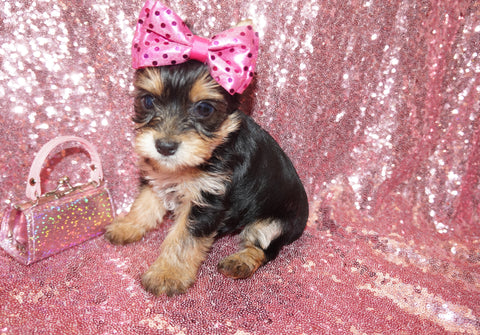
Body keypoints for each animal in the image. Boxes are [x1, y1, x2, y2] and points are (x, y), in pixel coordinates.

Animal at [104, 1, 308, 296]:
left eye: (204, 109)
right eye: (148, 101)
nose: (164, 146)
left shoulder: (207, 198)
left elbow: (183, 238)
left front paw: (167, 274)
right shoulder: (158, 174)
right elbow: (145, 202)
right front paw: (127, 226)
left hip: (277, 221)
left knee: (264, 247)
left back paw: (240, 261)